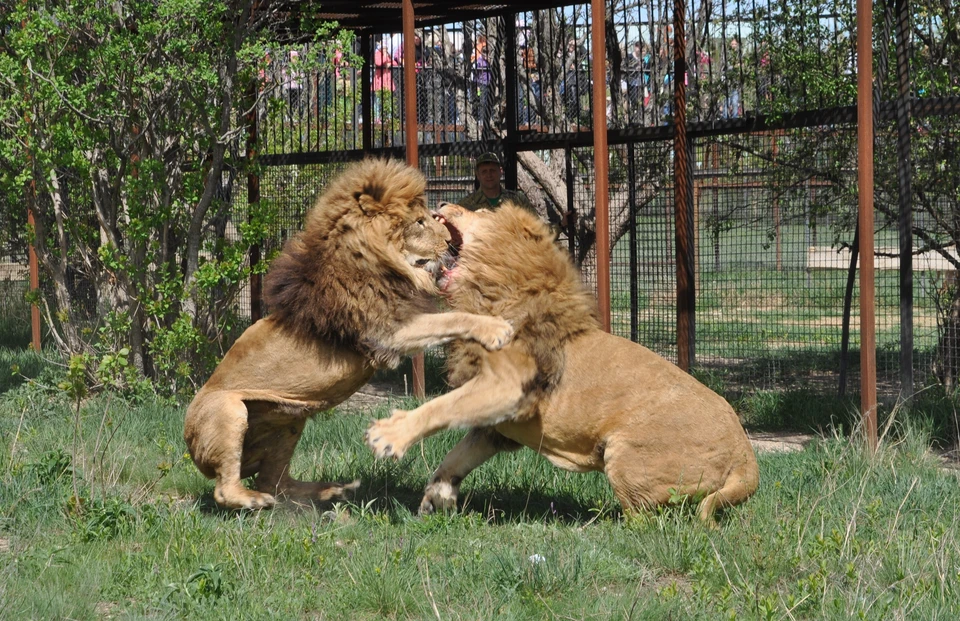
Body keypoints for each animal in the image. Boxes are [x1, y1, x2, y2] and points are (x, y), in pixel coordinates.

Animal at [185, 161, 512, 508]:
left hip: (290, 419)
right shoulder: (388, 333)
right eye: (420, 222)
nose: (450, 245)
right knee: (227, 488)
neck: (376, 265)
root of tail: (188, 441)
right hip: (230, 411)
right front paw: (496, 328)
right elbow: (449, 319)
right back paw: (256, 500)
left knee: (275, 481)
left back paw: (329, 490)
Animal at [366, 202, 756, 524]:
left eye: (481, 211)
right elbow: (455, 457)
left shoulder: (509, 387)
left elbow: (440, 408)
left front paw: (391, 435)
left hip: (626, 454)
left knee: (648, 522)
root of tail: (746, 457)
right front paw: (437, 498)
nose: (443, 204)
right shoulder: (496, 424)